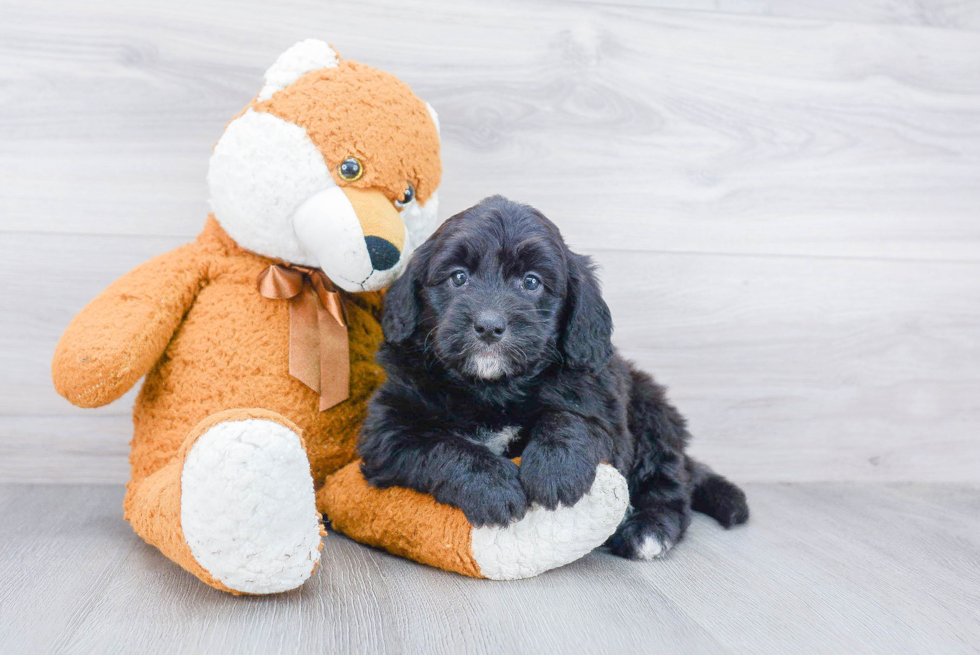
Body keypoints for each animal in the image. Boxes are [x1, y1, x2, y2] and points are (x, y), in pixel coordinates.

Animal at [360, 195, 752, 560]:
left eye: (531, 282)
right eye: (458, 277)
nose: (489, 326)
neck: (493, 388)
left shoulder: (602, 407)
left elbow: (571, 419)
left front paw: (555, 469)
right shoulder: (387, 430)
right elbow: (439, 445)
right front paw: (492, 486)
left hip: (652, 414)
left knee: (669, 486)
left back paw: (649, 531)